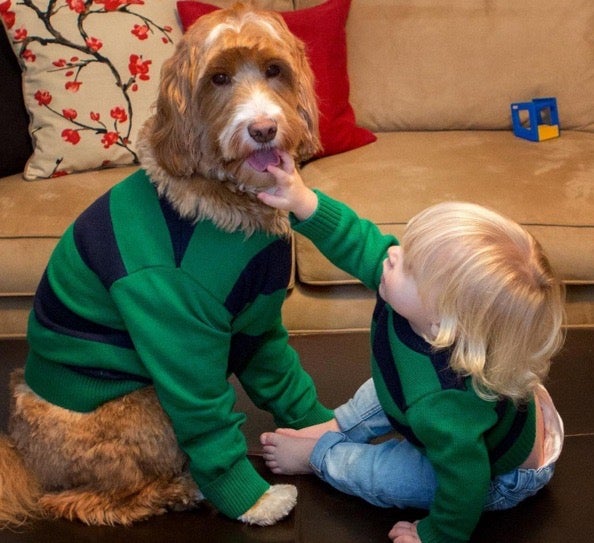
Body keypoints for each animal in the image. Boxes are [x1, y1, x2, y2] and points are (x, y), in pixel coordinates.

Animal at [0, 2, 332, 528]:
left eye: (274, 70)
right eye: (218, 78)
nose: (262, 129)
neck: (225, 196)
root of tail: (23, 454)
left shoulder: (256, 321)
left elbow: (281, 375)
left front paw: (321, 429)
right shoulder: (175, 322)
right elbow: (208, 418)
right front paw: (255, 501)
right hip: (145, 408)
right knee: (83, 501)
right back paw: (180, 489)